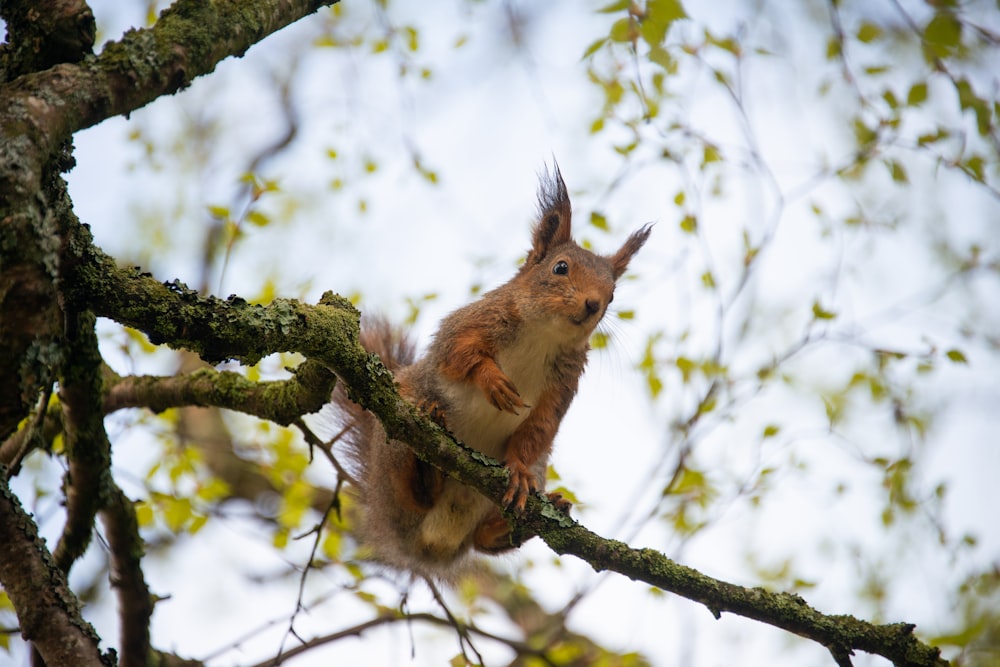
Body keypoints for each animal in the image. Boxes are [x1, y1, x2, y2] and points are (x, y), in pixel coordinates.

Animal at [332, 166, 652, 580]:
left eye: (612, 294)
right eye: (560, 268)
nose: (593, 304)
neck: (543, 335)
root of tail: (421, 546)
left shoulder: (562, 386)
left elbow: (539, 427)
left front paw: (516, 470)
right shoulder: (472, 323)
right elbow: (458, 354)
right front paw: (492, 380)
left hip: (531, 477)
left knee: (482, 542)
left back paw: (517, 523)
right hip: (395, 440)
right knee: (411, 492)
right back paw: (425, 467)